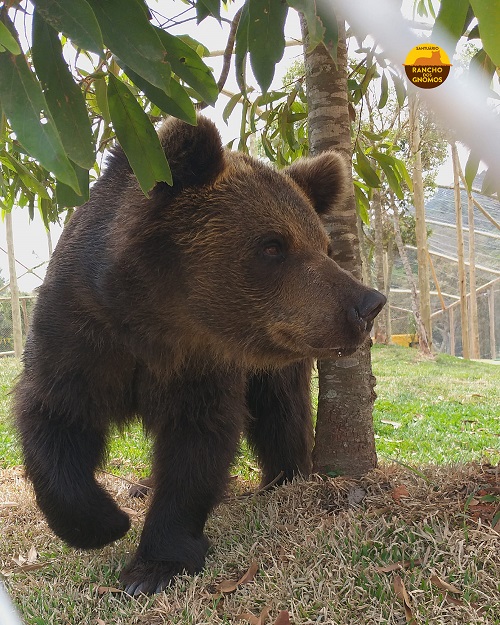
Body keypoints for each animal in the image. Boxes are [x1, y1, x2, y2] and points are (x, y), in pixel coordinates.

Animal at [13, 116, 384, 596]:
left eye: (324, 246)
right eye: (273, 245)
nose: (367, 304)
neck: (156, 321)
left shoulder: (202, 364)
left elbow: (198, 444)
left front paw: (154, 565)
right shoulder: (80, 334)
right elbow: (55, 417)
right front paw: (106, 522)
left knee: (282, 413)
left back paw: (283, 477)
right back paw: (140, 487)